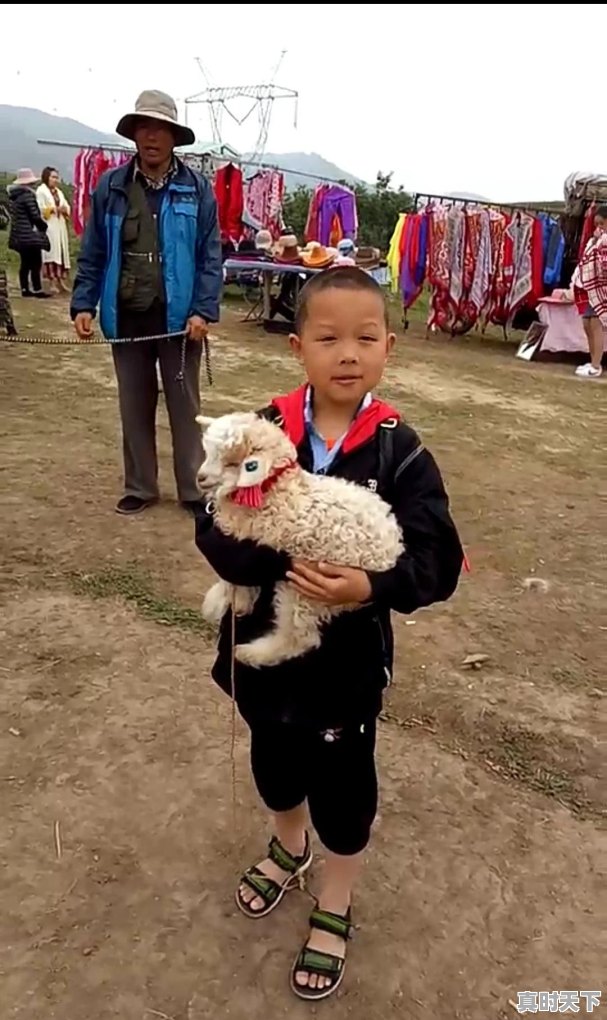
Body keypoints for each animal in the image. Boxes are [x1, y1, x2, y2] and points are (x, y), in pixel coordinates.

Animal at [195, 410, 403, 673]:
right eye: (208, 452)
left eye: (231, 463)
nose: (200, 478)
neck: (273, 488)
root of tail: (391, 554)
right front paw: (235, 602)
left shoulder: (251, 536)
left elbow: (232, 574)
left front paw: (225, 601)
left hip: (306, 587)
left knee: (301, 636)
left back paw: (250, 653)